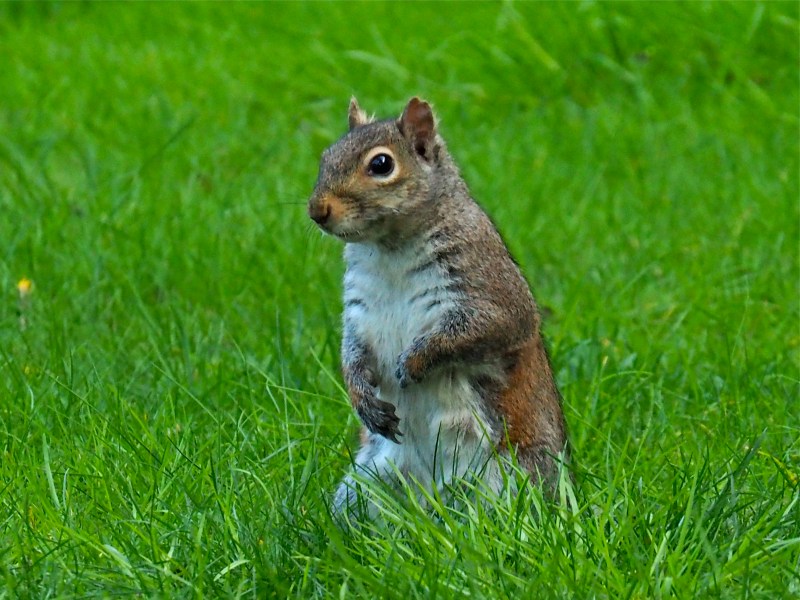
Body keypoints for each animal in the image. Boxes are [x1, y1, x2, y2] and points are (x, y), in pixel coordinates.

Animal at [308, 97, 569, 518]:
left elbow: (487, 328)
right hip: (363, 487)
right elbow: (352, 354)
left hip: (509, 481)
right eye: (326, 157)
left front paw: (413, 362)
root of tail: (428, 501)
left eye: (381, 164)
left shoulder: (488, 287)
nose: (317, 211)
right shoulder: (359, 311)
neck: (390, 247)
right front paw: (363, 400)